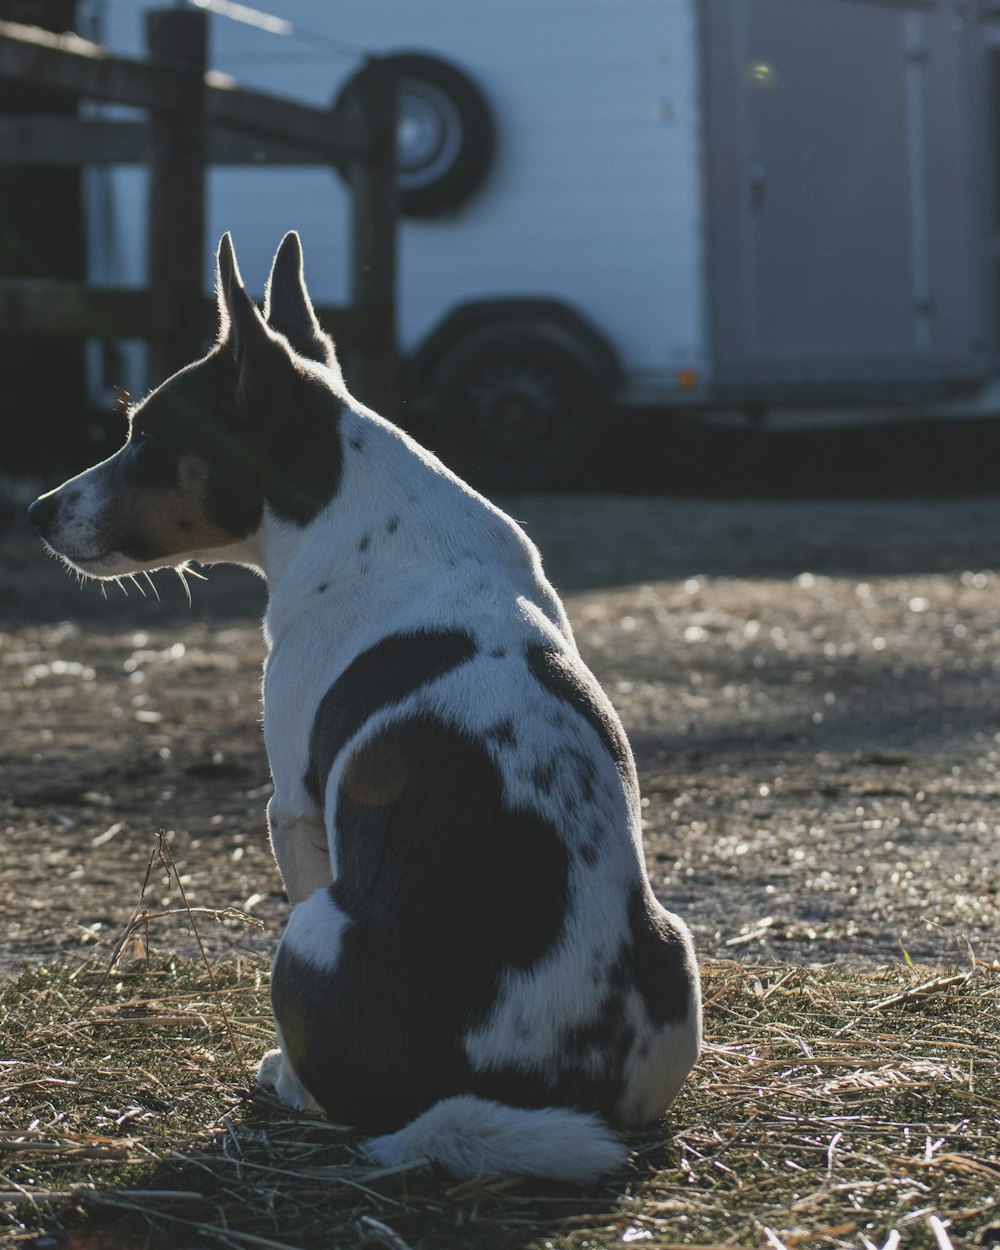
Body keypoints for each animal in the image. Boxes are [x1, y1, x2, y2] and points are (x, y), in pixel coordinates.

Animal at [27, 235, 700, 1180]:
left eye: (147, 437)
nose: (37, 511)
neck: (361, 518)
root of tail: (499, 1088)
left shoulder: (292, 809)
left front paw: (281, 1068)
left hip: (309, 930)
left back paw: (293, 1084)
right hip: (677, 949)